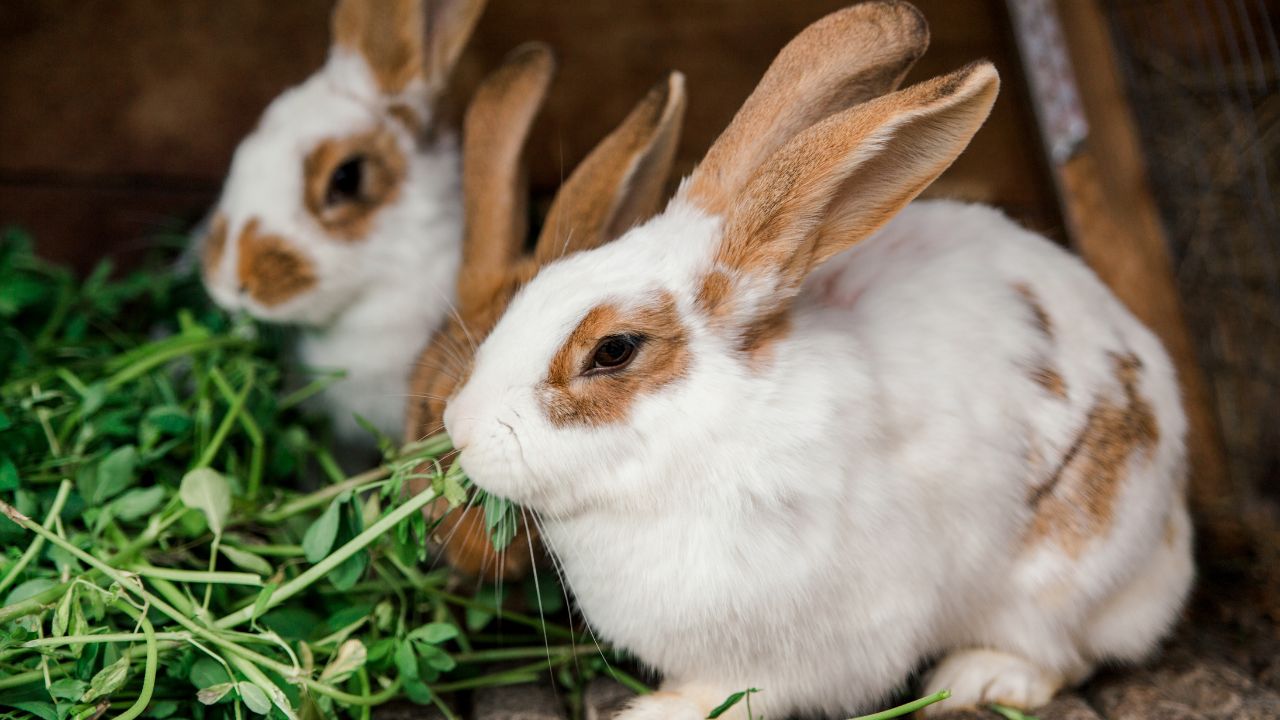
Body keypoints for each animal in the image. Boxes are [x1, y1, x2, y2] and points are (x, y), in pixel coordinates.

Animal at [437, 2, 1187, 712]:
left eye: (612, 351)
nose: (459, 428)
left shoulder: (816, 643)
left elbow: (745, 693)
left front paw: (659, 711)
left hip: (1062, 572)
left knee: (1064, 651)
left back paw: (982, 678)